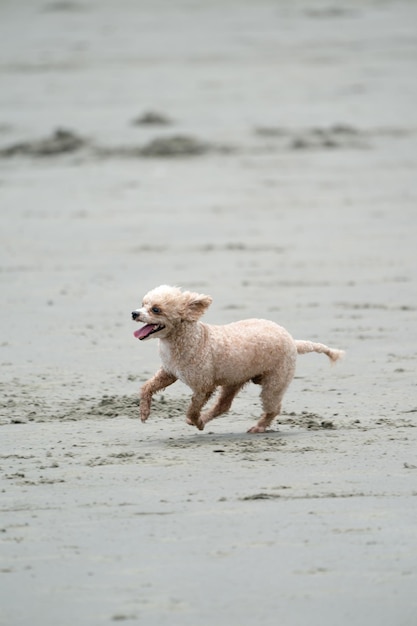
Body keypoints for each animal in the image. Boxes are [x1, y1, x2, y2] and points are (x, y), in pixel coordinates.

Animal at [132, 286, 342, 432]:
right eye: (143, 304)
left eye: (156, 309)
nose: (134, 313)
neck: (189, 337)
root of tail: (293, 342)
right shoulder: (169, 372)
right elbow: (146, 387)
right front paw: (144, 412)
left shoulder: (203, 387)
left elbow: (192, 409)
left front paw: (196, 421)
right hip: (234, 380)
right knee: (223, 406)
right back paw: (207, 418)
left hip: (275, 381)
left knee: (273, 408)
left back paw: (258, 427)